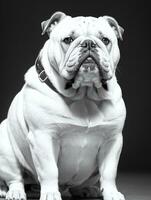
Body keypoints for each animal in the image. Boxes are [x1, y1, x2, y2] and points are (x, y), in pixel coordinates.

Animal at [0, 11, 126, 200]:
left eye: (105, 40)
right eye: (68, 39)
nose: (88, 43)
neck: (84, 96)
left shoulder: (112, 140)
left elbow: (109, 172)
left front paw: (112, 193)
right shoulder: (43, 137)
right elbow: (49, 170)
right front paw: (51, 193)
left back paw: (86, 190)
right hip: (6, 148)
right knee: (15, 179)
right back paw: (15, 192)